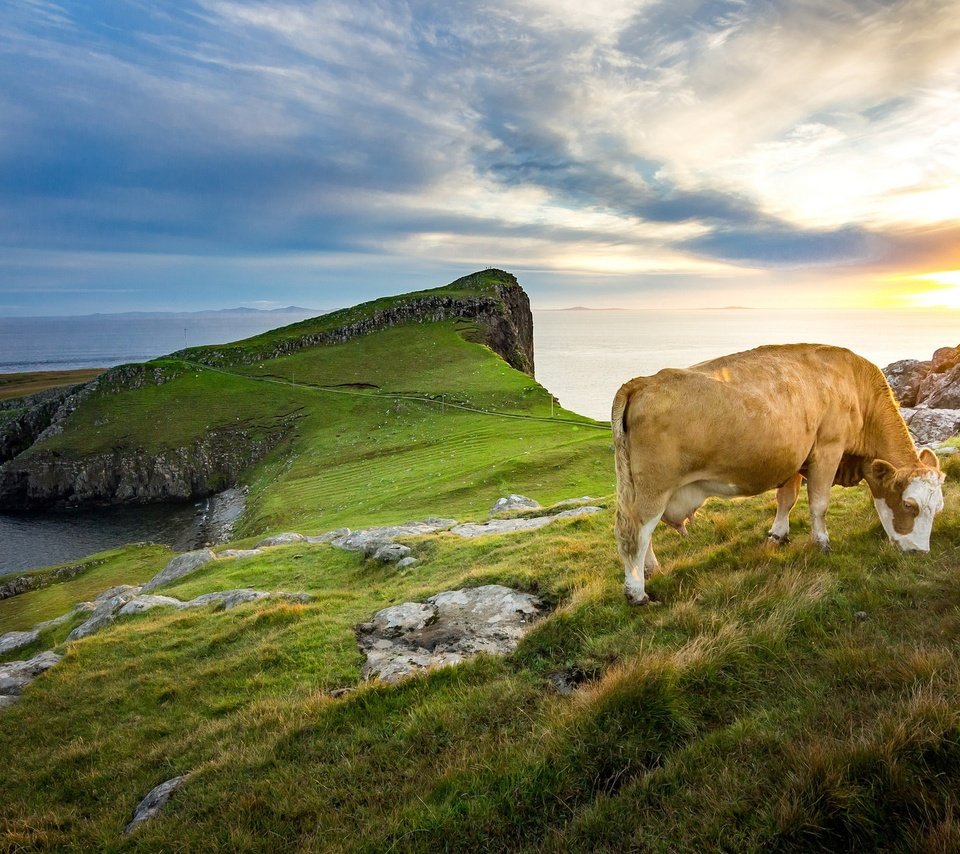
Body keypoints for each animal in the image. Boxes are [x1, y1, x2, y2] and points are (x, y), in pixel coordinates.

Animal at [616, 344, 944, 604]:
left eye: (938, 507)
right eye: (908, 505)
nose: (921, 553)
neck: (855, 387)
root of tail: (640, 383)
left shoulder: (796, 459)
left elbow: (787, 499)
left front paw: (778, 534)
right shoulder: (828, 449)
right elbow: (819, 504)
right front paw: (822, 543)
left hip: (641, 489)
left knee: (644, 532)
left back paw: (650, 570)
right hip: (654, 487)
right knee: (635, 531)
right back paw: (637, 592)